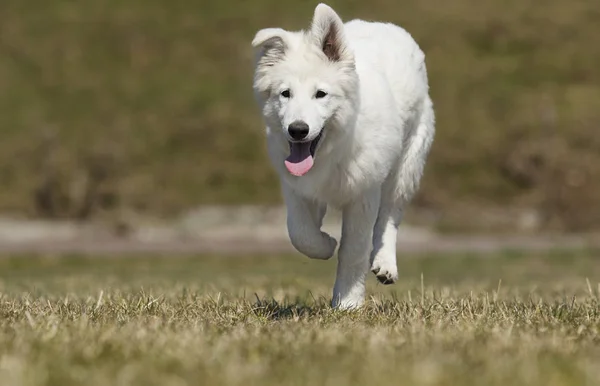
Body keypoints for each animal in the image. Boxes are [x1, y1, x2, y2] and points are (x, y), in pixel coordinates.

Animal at [251, 3, 434, 310]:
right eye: (285, 94)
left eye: (320, 94)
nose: (297, 130)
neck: (333, 150)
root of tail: (381, 25)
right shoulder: (297, 187)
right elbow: (299, 232)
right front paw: (325, 244)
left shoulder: (364, 193)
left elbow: (353, 250)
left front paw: (347, 302)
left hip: (405, 167)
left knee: (390, 215)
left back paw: (385, 263)